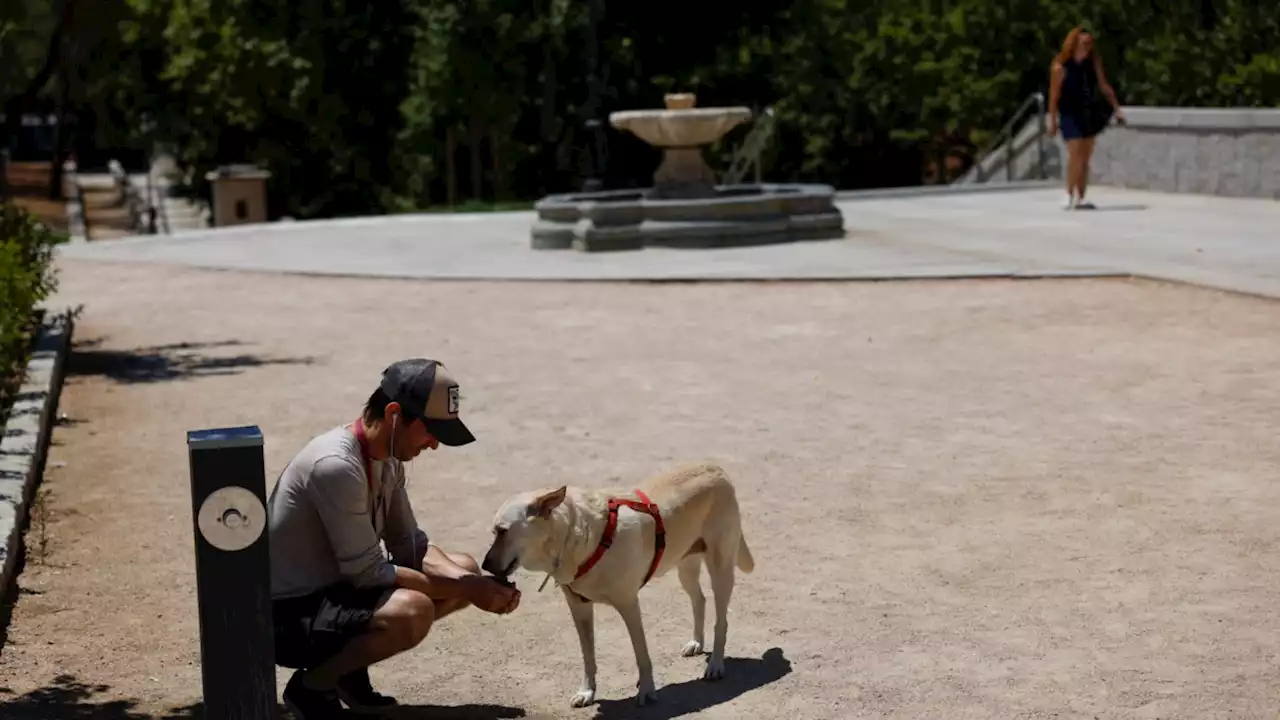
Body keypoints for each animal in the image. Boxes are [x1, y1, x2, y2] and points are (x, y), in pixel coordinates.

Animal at [483, 461, 752, 702]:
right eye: (494, 532)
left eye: (502, 531)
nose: (484, 566)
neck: (577, 536)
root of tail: (716, 468)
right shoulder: (579, 609)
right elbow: (588, 656)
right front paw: (587, 691)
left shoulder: (629, 605)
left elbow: (641, 654)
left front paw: (647, 690)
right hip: (685, 566)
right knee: (699, 599)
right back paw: (696, 642)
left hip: (720, 571)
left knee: (721, 620)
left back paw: (715, 665)